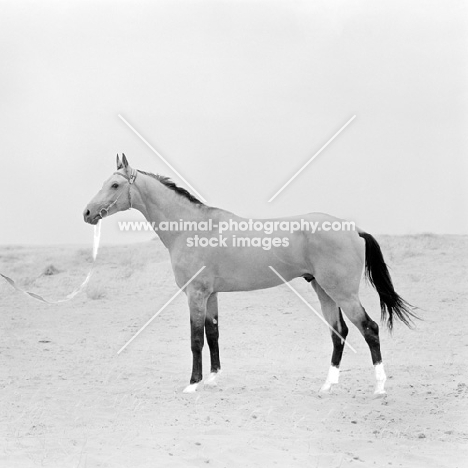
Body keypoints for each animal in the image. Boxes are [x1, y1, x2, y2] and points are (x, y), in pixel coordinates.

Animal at [82, 154, 414, 394]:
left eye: (114, 185)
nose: (86, 213)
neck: (191, 227)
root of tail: (353, 229)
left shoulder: (195, 294)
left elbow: (196, 339)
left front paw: (192, 384)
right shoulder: (210, 294)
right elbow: (213, 333)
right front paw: (213, 379)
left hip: (343, 293)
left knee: (369, 329)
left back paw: (379, 387)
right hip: (323, 290)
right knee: (339, 332)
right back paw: (328, 385)